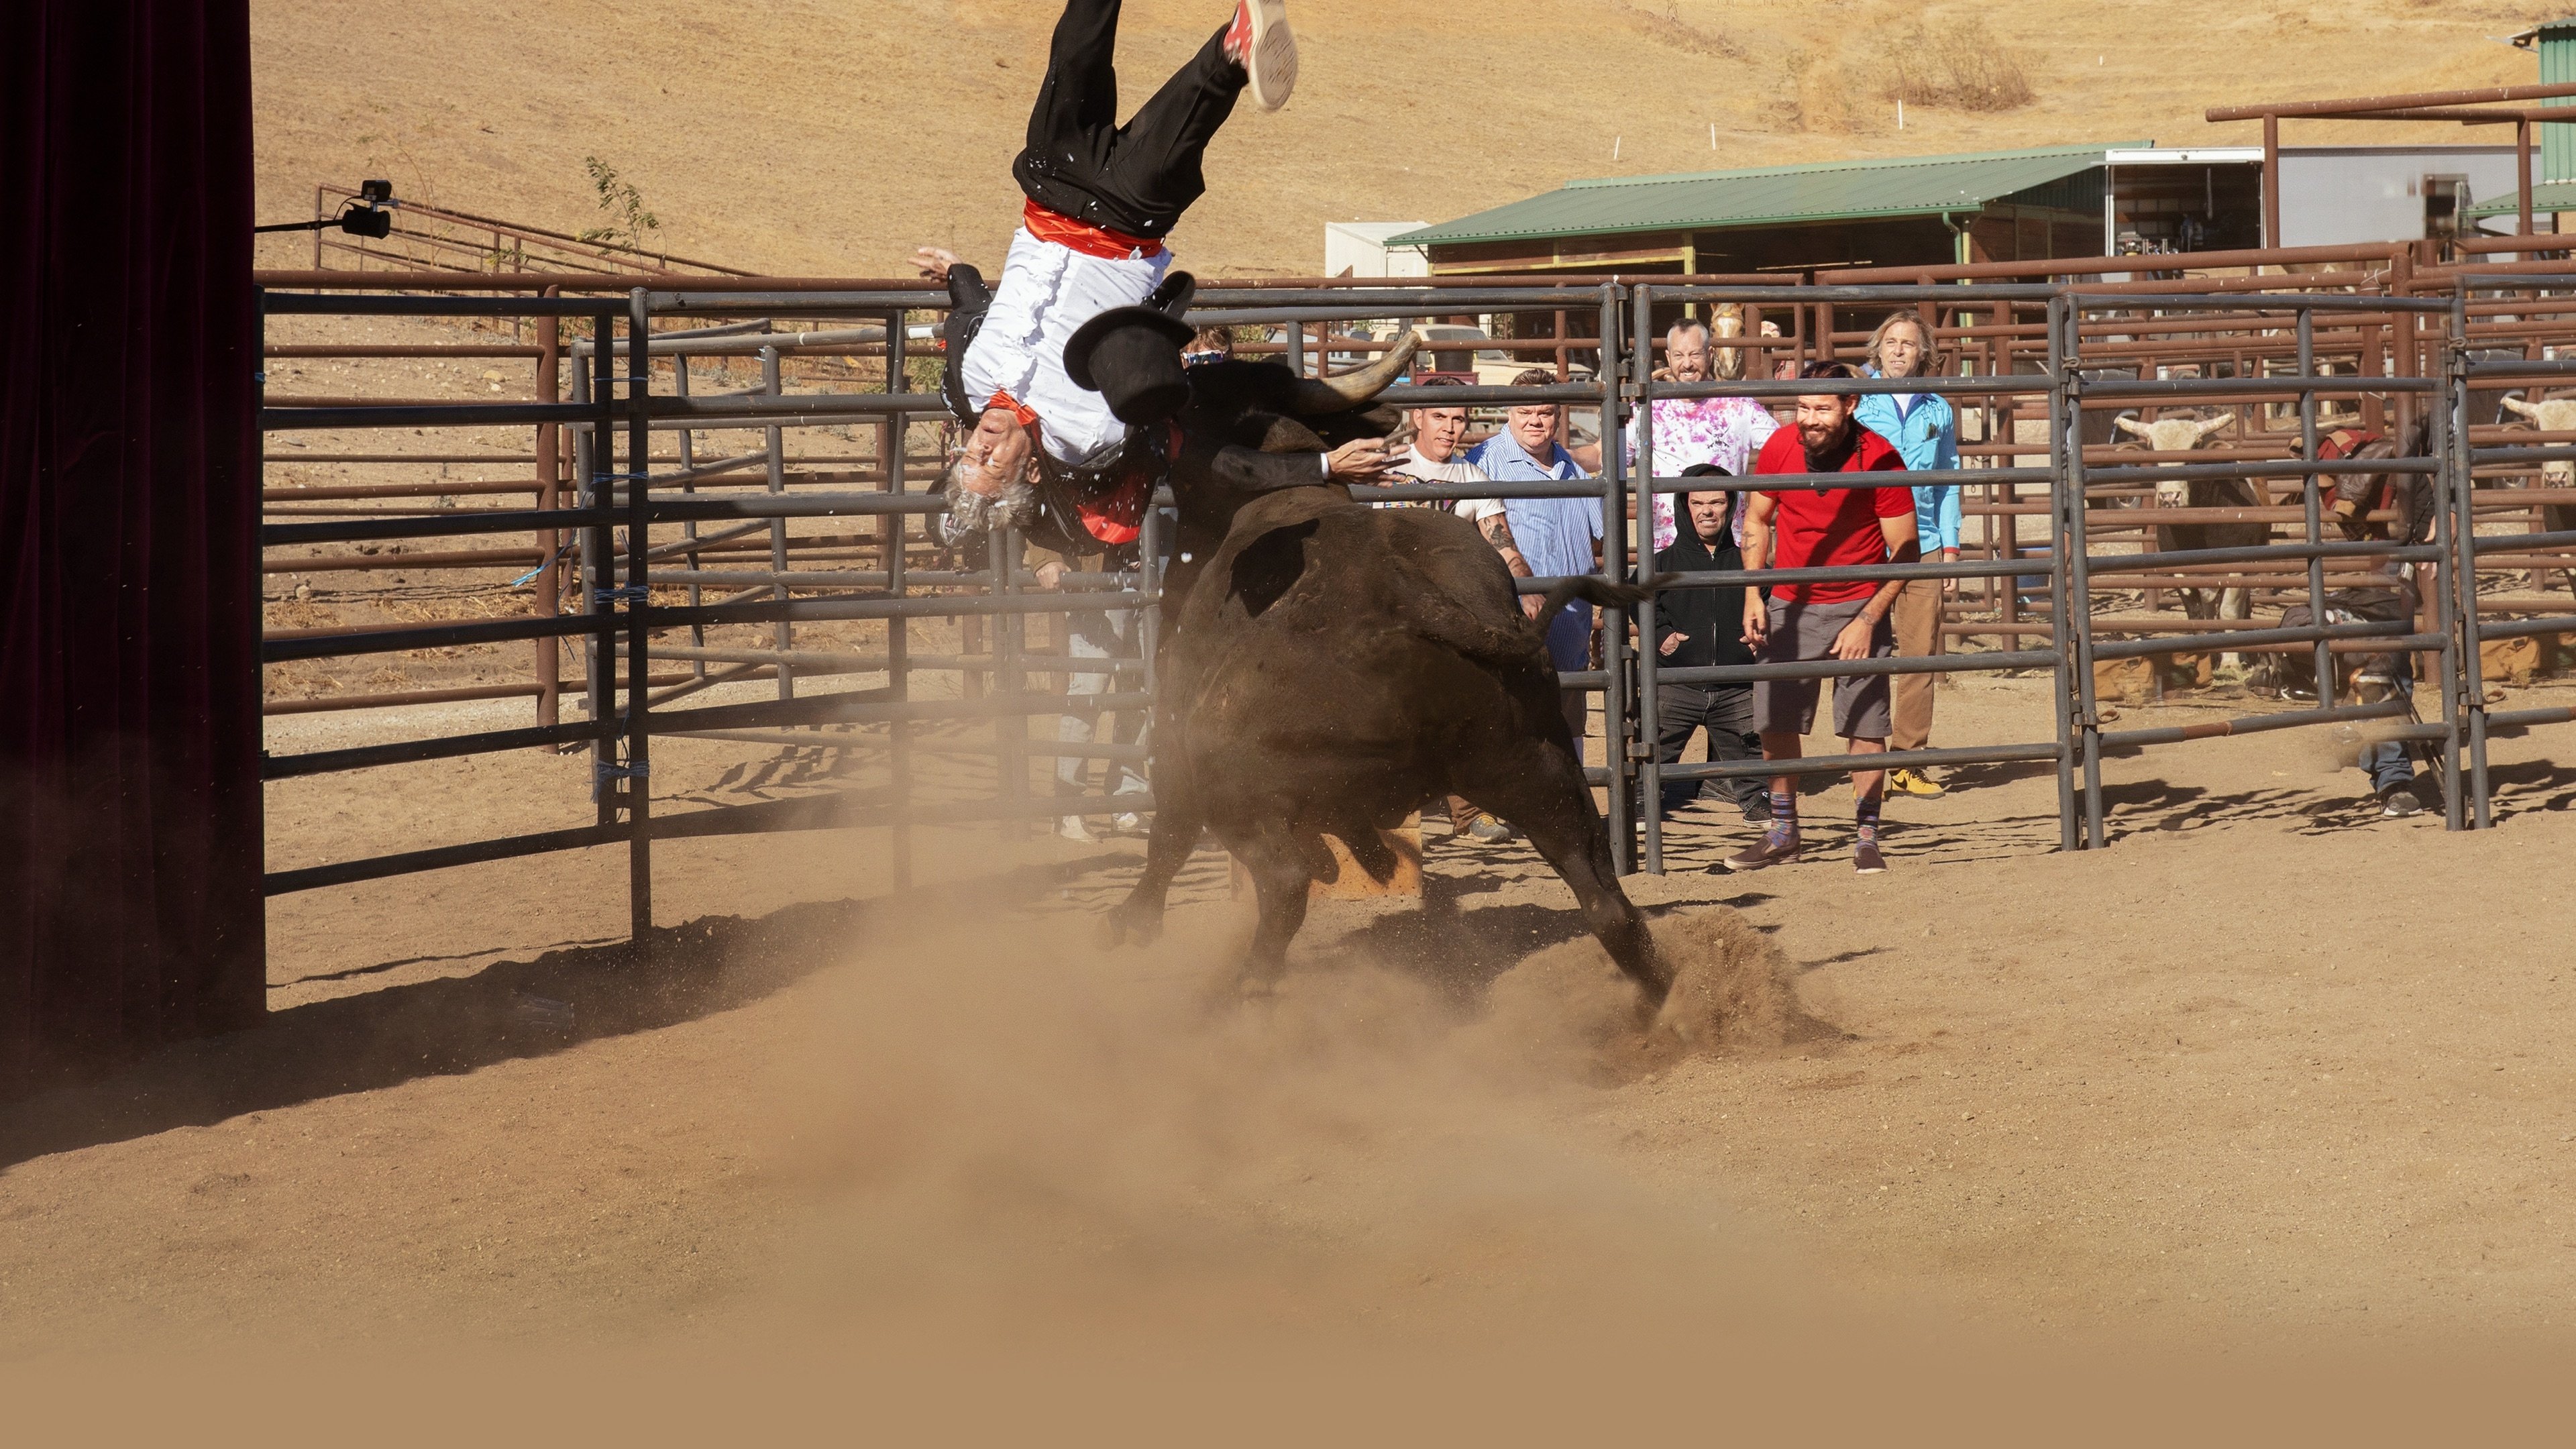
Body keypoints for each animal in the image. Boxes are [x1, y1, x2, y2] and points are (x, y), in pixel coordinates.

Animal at [1092, 329, 1669, 1005]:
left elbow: (1169, 834)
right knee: (1605, 899)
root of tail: (1412, 598)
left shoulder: (1177, 744)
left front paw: (1130, 921)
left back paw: (1244, 990)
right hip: (1538, 768)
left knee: (1283, 882)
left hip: (1236, 786)